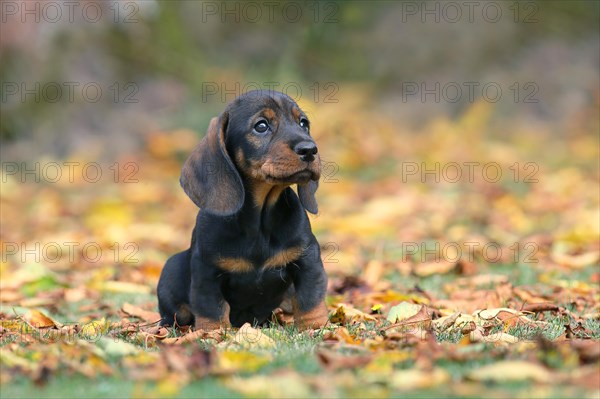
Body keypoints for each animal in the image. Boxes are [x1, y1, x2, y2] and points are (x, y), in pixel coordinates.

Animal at [157, 90, 328, 332]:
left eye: (303, 123)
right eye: (261, 126)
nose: (310, 150)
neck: (260, 221)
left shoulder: (308, 259)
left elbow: (310, 299)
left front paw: (316, 328)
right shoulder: (206, 271)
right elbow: (211, 308)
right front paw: (213, 333)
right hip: (171, 269)